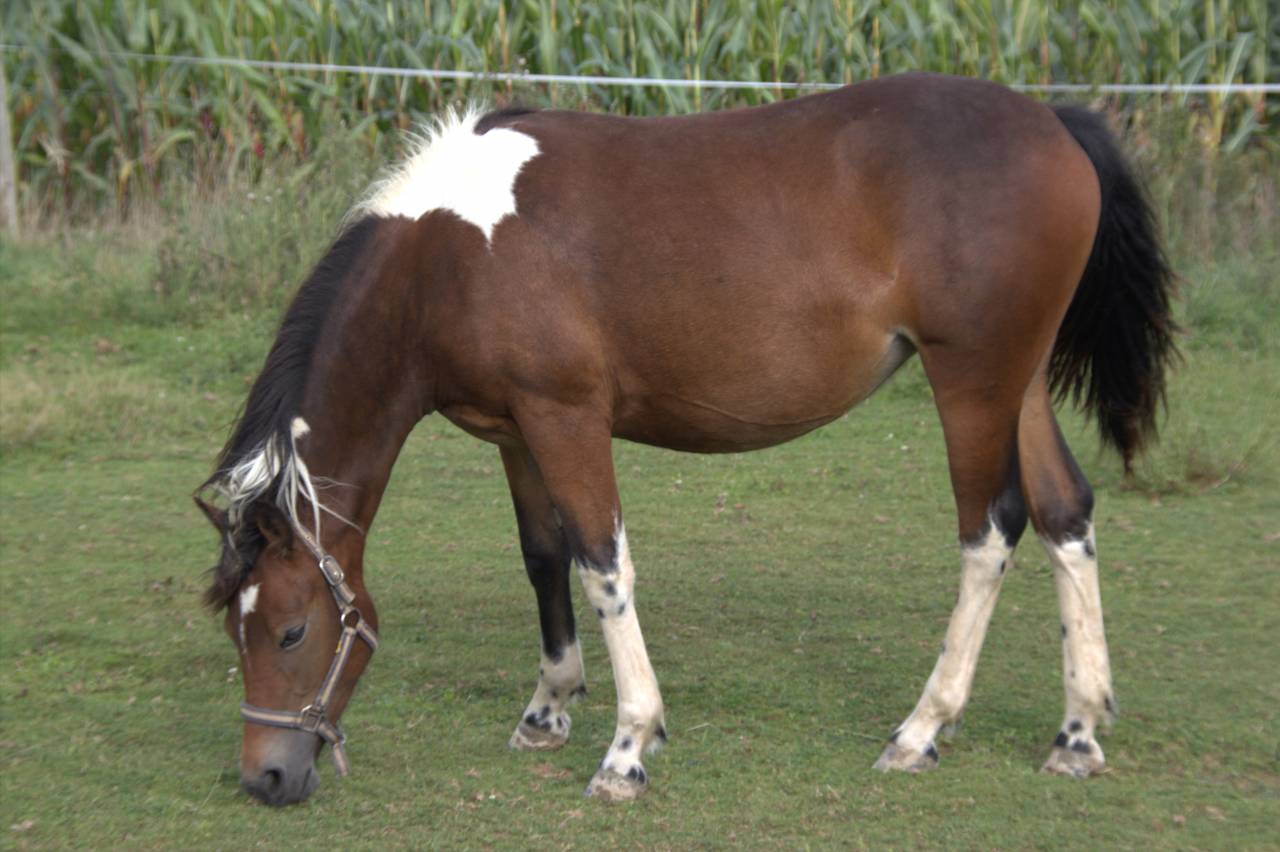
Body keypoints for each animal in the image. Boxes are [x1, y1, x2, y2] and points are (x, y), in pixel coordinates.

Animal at [195, 72, 1176, 806]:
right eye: (234, 632)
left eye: (290, 631)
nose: (266, 777)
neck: (449, 256)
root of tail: (1050, 120)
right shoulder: (517, 431)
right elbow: (544, 557)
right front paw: (548, 710)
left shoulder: (567, 418)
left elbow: (602, 563)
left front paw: (628, 745)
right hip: (1019, 382)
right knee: (1065, 514)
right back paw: (1077, 733)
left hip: (971, 382)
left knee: (990, 529)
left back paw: (923, 729)